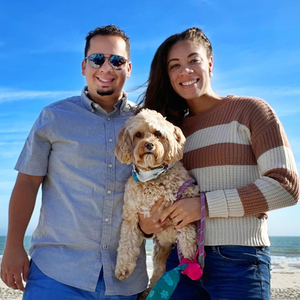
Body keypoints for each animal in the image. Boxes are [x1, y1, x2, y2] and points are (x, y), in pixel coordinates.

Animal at [115, 108, 199, 298]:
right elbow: (126, 244)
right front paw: (122, 269)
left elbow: (187, 235)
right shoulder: (131, 217)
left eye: (158, 134)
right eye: (138, 134)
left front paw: (189, 258)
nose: (149, 145)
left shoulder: (183, 204)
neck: (151, 178)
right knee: (158, 272)